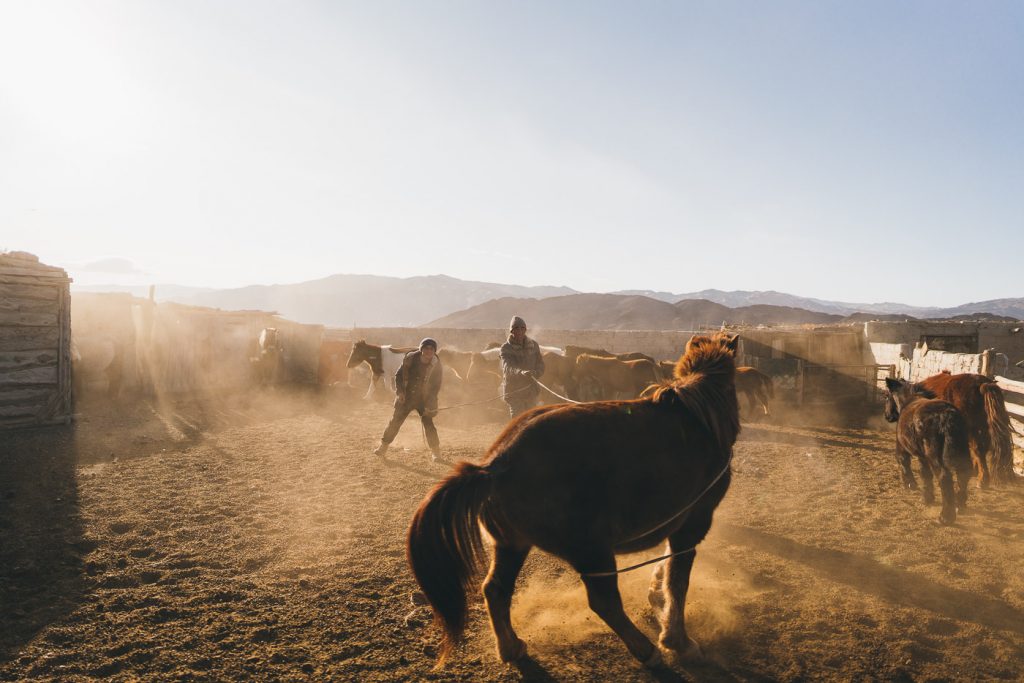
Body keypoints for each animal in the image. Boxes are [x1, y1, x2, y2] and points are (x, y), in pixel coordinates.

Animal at [403, 335, 741, 667]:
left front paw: (656, 597)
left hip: (511, 544)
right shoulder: (694, 522)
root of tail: (498, 463)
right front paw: (678, 640)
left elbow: (667, 568)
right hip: (592, 551)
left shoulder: (678, 523)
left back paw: (511, 647)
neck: (698, 420)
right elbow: (677, 582)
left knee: (496, 590)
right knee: (603, 601)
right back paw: (645, 650)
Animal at [884, 376, 970, 528]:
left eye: (887, 397)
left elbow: (905, 464)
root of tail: (946, 415)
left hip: (935, 457)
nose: (887, 416)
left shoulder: (902, 449)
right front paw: (927, 497)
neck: (908, 401)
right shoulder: (922, 457)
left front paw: (911, 485)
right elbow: (925, 474)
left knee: (944, 478)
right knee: (963, 475)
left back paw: (946, 517)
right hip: (961, 453)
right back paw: (960, 506)